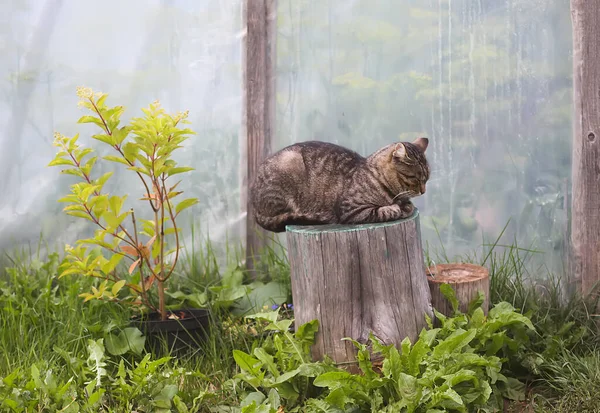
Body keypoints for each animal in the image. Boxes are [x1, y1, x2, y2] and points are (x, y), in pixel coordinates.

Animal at [250, 138, 432, 232]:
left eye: (427, 179)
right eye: (415, 178)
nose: (423, 191)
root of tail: (254, 206)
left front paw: (404, 205)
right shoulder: (351, 210)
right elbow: (384, 211)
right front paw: (395, 208)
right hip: (288, 166)